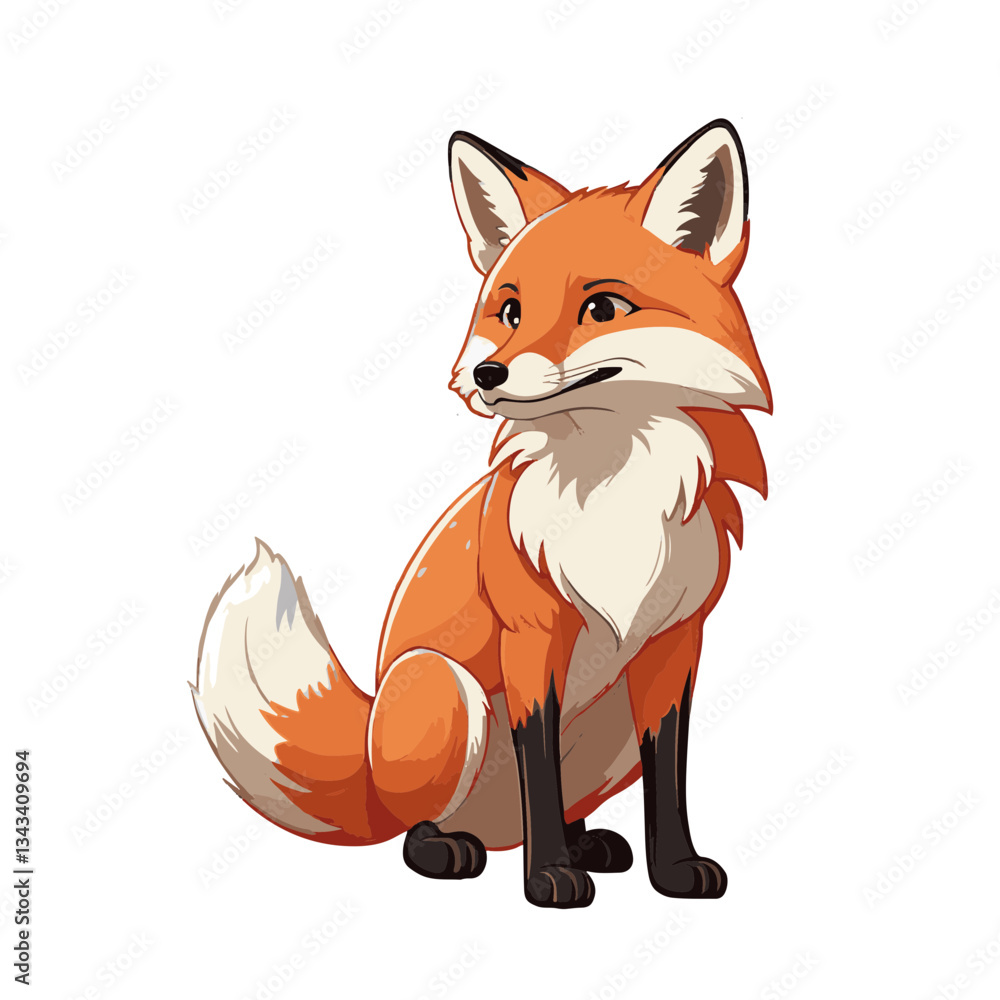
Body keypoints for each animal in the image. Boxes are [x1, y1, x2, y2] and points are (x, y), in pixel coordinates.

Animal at [191, 119, 770, 909]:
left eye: (602, 309)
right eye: (510, 310)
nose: (487, 372)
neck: (612, 489)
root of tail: (367, 769)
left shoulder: (674, 644)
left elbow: (668, 776)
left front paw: (674, 869)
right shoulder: (530, 639)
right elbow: (538, 763)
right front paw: (550, 877)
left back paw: (587, 842)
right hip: (446, 685)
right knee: (417, 827)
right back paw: (454, 848)